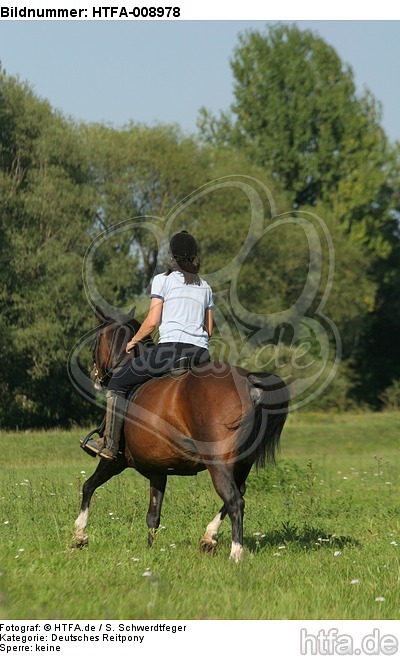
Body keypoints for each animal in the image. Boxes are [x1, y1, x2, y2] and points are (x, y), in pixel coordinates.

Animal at [73, 306, 290, 561]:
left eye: (94, 343)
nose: (95, 377)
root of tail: (249, 382)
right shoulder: (158, 471)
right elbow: (153, 516)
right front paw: (150, 550)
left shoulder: (115, 461)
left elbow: (89, 486)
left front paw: (79, 534)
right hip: (242, 463)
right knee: (238, 493)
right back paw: (209, 537)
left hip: (218, 463)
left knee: (234, 500)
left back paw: (235, 553)